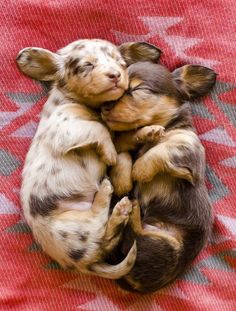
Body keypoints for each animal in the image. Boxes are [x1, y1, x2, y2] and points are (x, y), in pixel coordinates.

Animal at [16, 39, 160, 280]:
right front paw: (110, 154)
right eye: (87, 65)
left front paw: (149, 131)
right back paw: (110, 197)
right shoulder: (66, 129)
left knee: (107, 239)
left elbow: (123, 136)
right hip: (74, 226)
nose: (115, 75)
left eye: (121, 63)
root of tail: (84, 264)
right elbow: (97, 129)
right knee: (100, 223)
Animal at [102, 61, 217, 292]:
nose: (103, 107)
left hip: (169, 247)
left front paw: (140, 168)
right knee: (115, 241)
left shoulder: (189, 150)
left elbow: (162, 150)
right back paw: (124, 210)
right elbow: (123, 150)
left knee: (131, 237)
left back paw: (130, 209)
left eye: (138, 89)